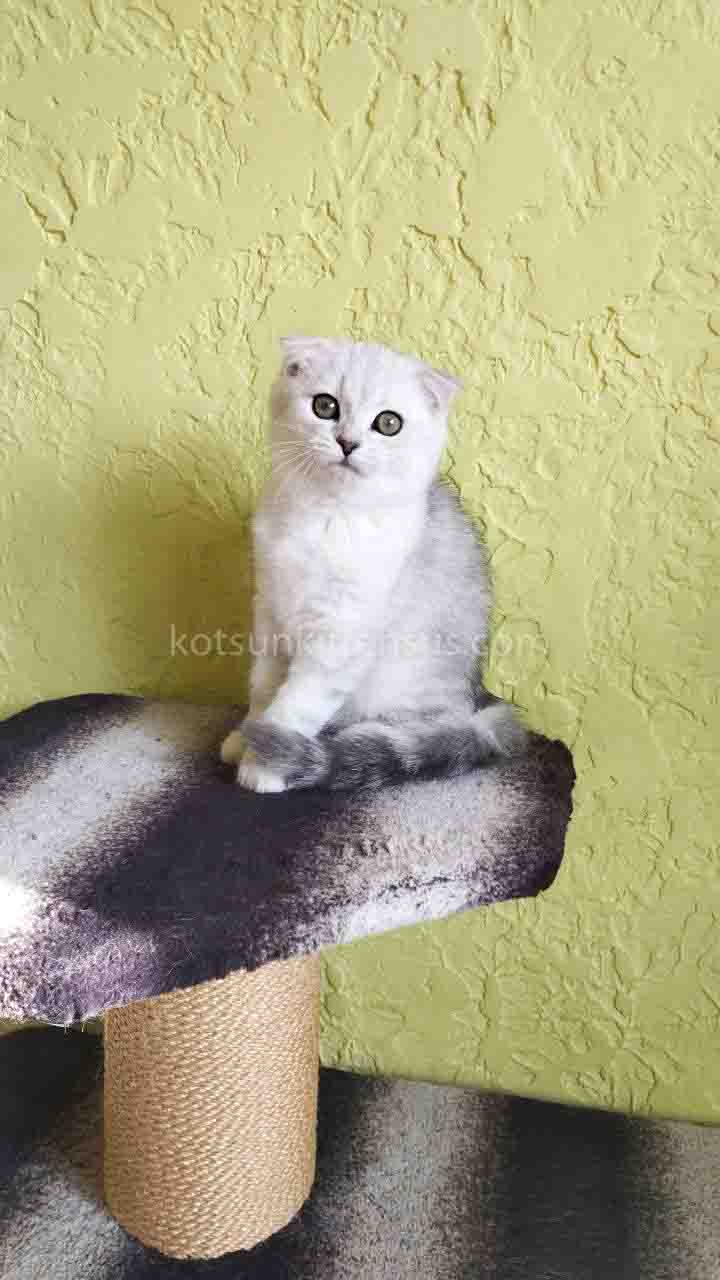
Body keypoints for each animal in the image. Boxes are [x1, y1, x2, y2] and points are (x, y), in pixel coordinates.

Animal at [220, 336, 525, 792]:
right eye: (325, 406)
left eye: (388, 423)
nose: (347, 442)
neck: (326, 514)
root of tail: (477, 699)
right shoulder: (270, 612)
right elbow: (262, 689)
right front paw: (244, 740)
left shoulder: (342, 631)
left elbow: (294, 705)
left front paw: (264, 766)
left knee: (420, 731)